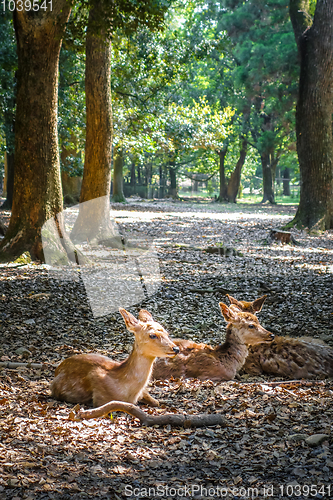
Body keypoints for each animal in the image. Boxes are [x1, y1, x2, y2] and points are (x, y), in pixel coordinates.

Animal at [50, 308, 179, 410]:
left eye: (167, 333)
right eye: (152, 335)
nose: (176, 348)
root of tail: (57, 370)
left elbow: (156, 402)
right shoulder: (101, 399)